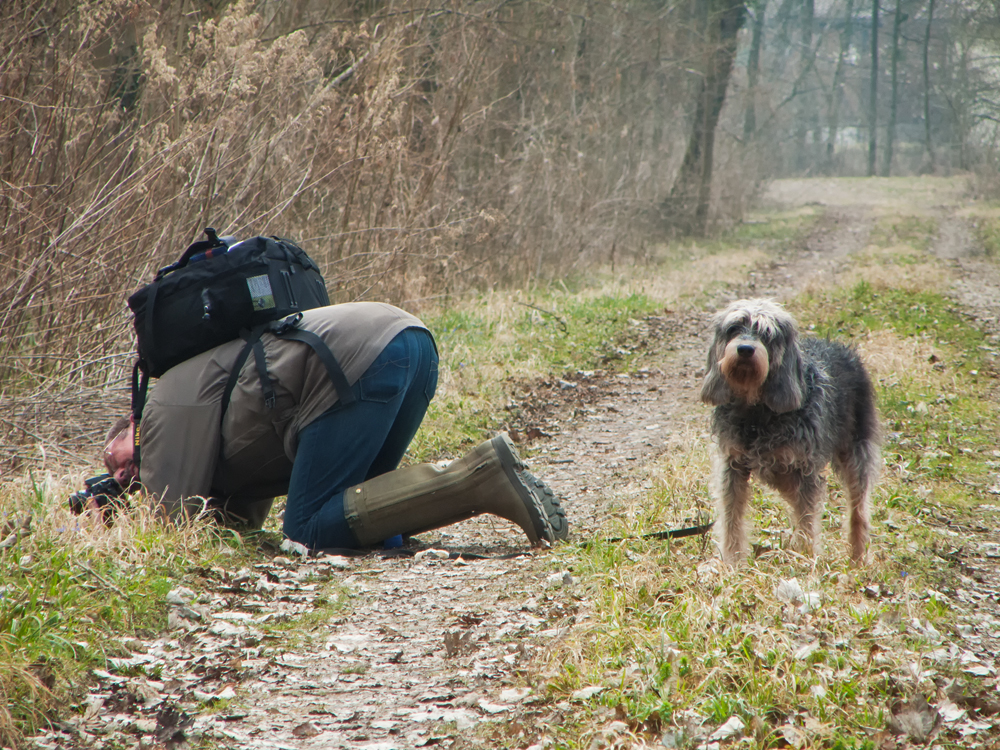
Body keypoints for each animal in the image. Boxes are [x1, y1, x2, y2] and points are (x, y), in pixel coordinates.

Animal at [700, 298, 880, 564]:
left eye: (766, 333)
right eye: (733, 328)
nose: (745, 349)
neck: (757, 412)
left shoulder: (804, 470)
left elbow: (807, 518)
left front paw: (805, 558)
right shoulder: (732, 467)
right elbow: (732, 517)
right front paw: (732, 561)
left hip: (856, 453)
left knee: (859, 508)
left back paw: (858, 556)